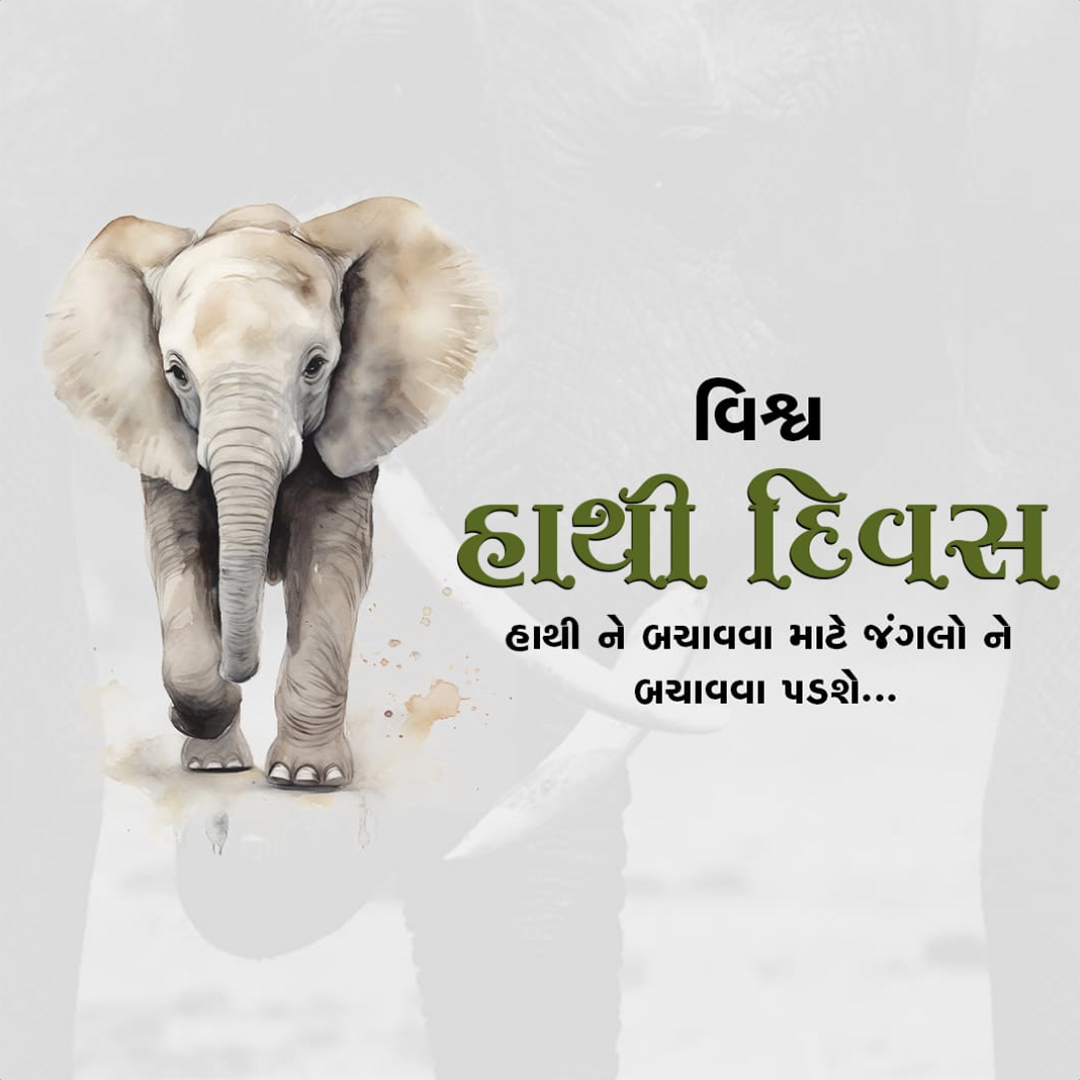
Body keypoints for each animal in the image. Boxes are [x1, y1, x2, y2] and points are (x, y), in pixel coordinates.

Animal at [44, 199, 494, 788]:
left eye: (316, 366)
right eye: (176, 373)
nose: (239, 676)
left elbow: (329, 563)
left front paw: (305, 777)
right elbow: (178, 556)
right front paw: (206, 722)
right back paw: (217, 766)